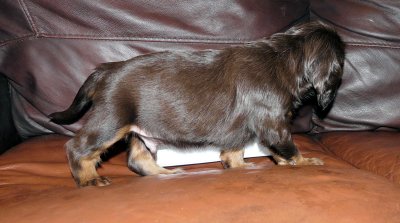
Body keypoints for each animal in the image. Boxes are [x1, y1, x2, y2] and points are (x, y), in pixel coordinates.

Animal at [50, 21, 346, 187]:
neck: (285, 57)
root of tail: (105, 70)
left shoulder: (239, 131)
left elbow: (233, 154)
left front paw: (242, 168)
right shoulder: (273, 123)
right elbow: (287, 148)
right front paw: (306, 162)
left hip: (138, 130)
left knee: (137, 160)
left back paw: (166, 174)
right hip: (111, 121)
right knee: (77, 148)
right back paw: (89, 179)